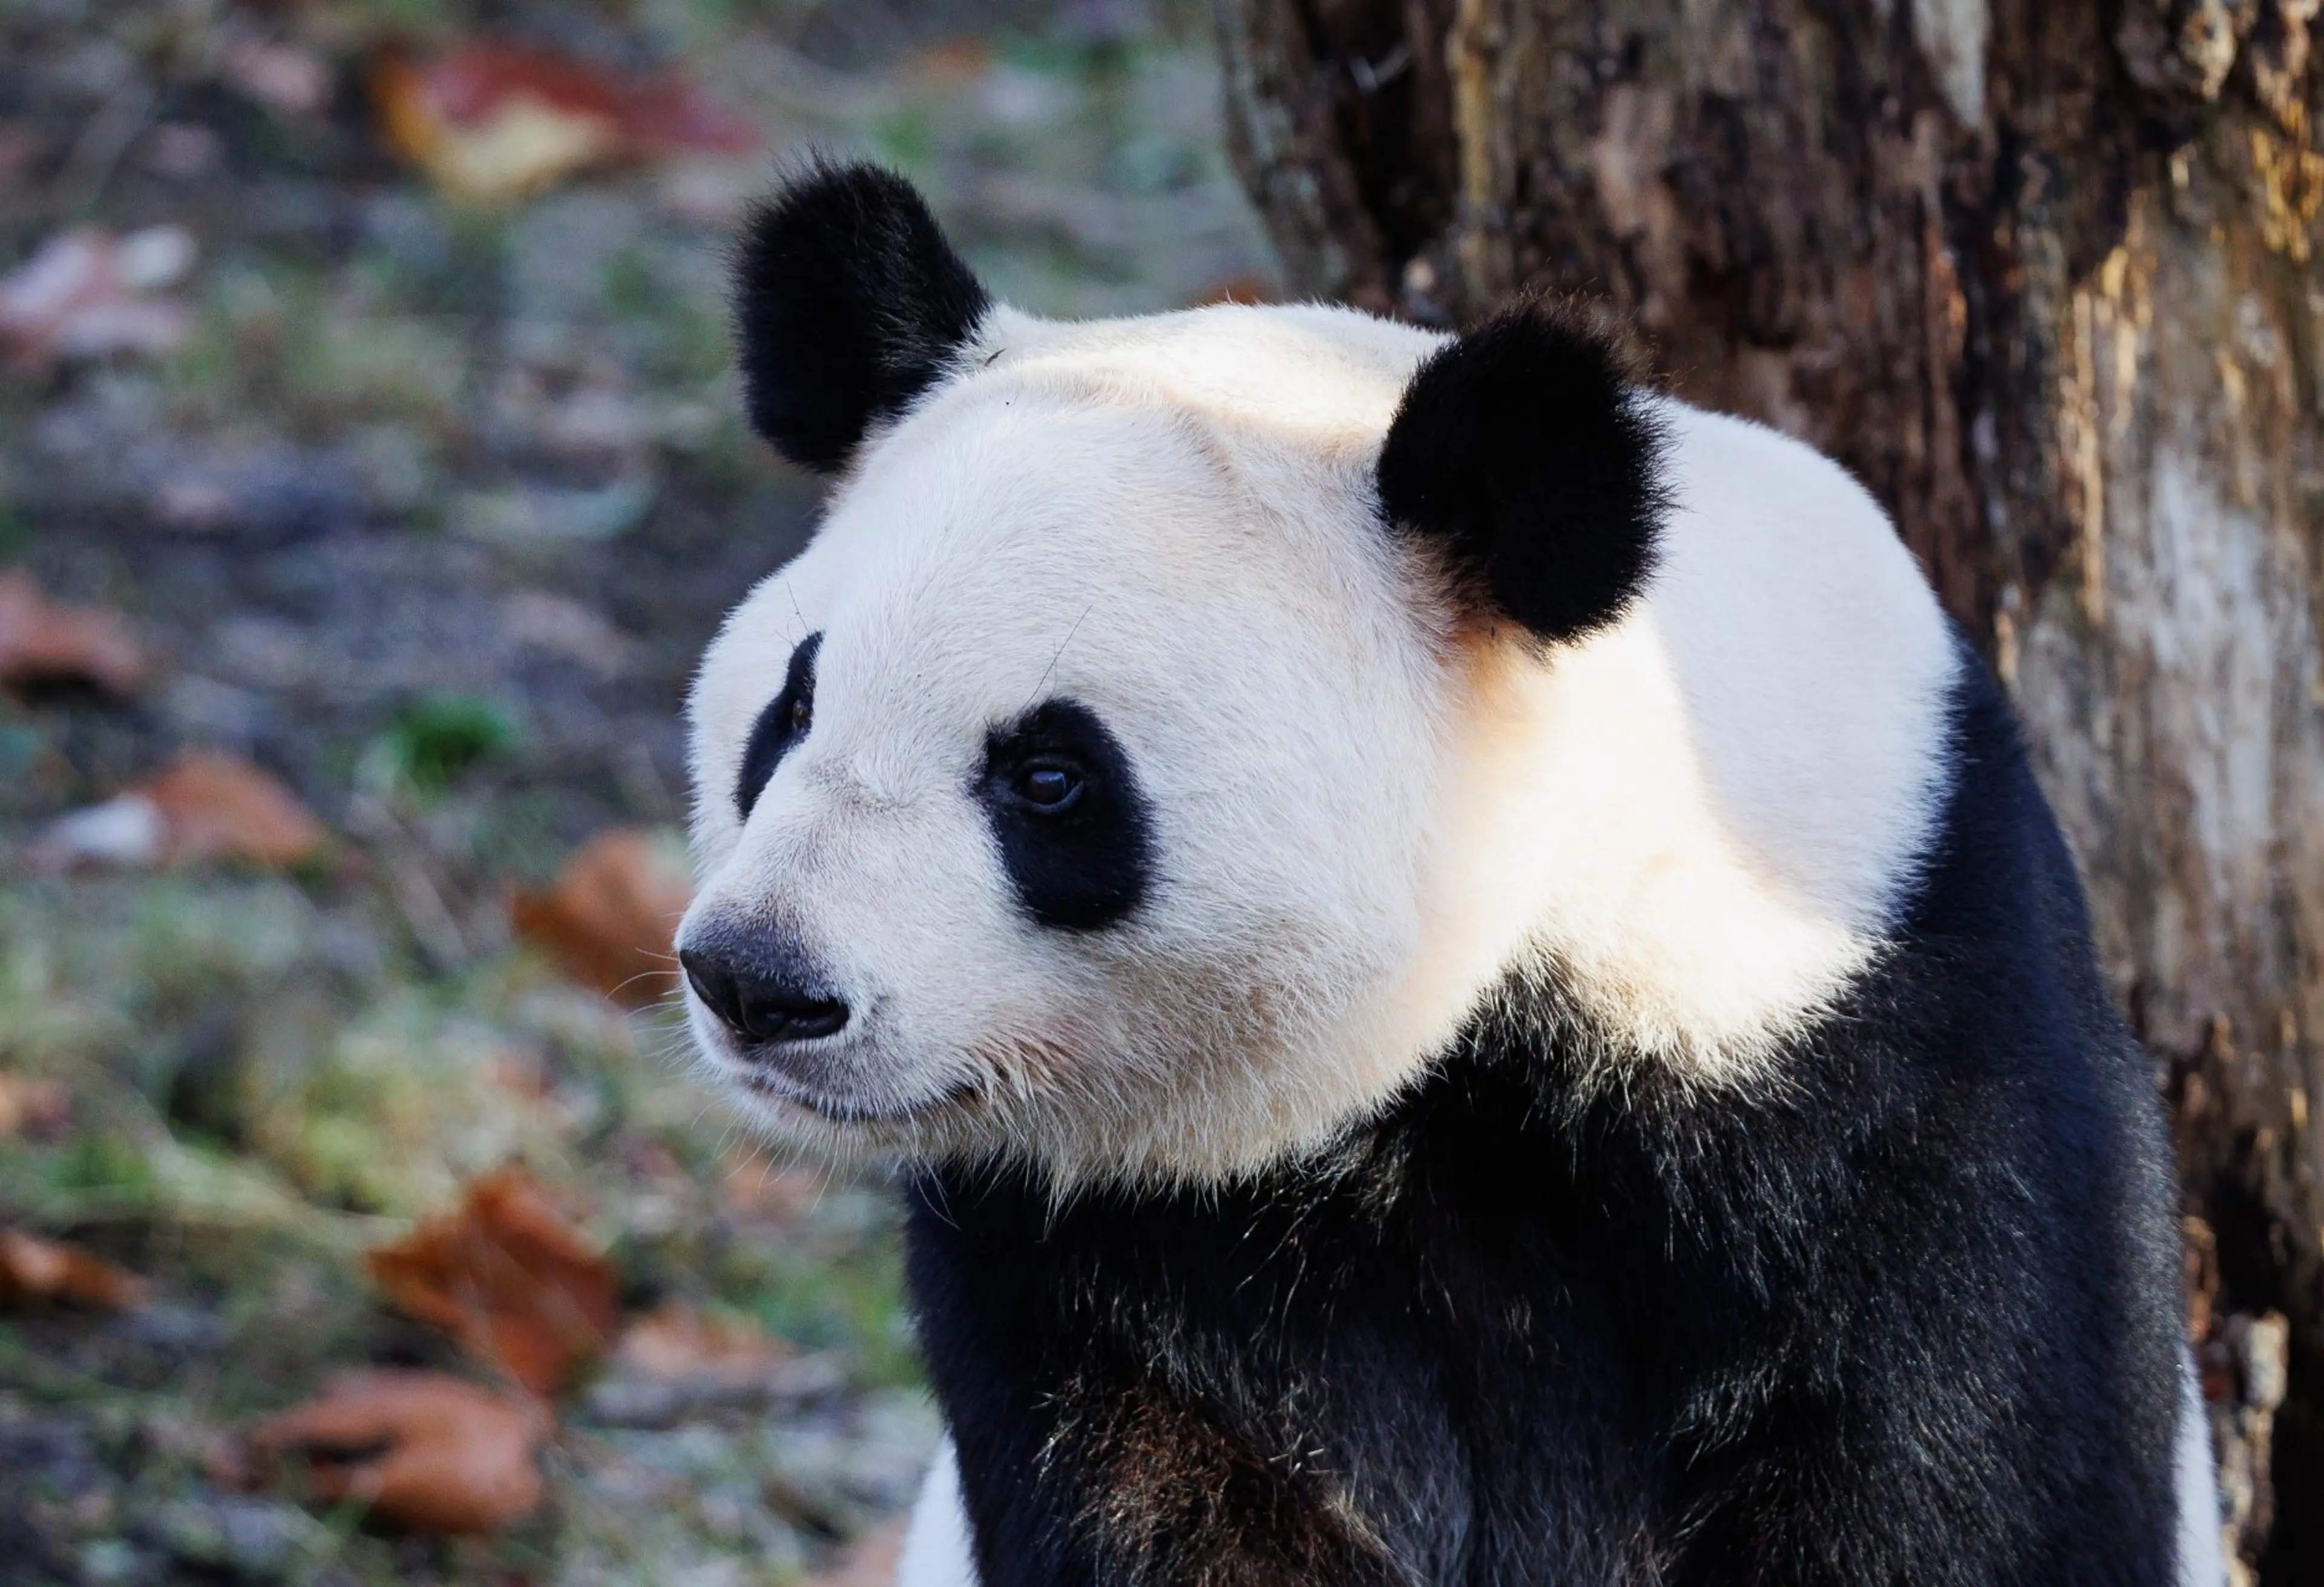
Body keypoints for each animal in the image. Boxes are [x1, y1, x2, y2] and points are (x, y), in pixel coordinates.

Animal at [677, 162, 2223, 1586]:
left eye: (1048, 777)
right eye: (792, 710)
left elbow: (1949, 1461)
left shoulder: (1885, 1040)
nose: (758, 976)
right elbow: (1154, 1489)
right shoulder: (1105, 1253)